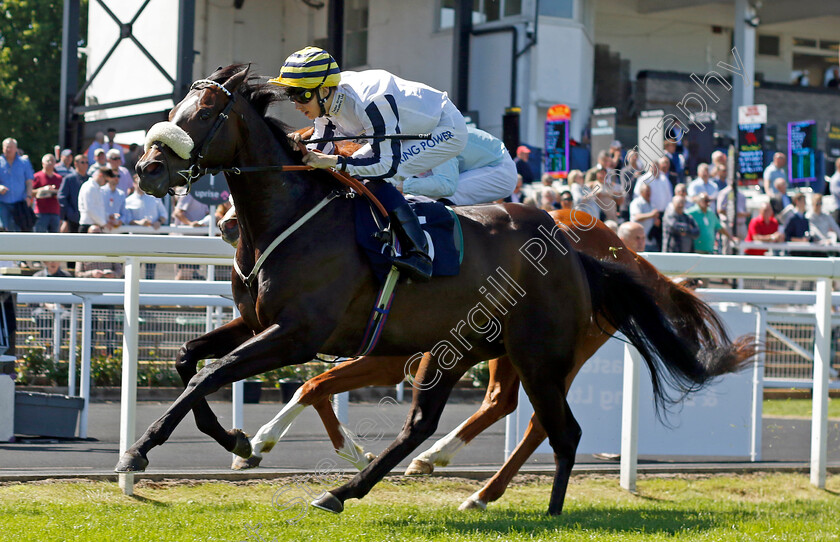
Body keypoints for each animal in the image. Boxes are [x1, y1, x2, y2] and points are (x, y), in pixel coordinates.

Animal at [126, 66, 756, 516]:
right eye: (173, 109)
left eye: (207, 112)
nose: (146, 169)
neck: (291, 217)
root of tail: (579, 249)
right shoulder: (261, 324)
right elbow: (189, 362)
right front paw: (235, 441)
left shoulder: (297, 333)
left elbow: (219, 374)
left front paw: (143, 451)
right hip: (462, 348)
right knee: (429, 424)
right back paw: (356, 490)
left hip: (540, 352)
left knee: (557, 428)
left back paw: (540, 509)